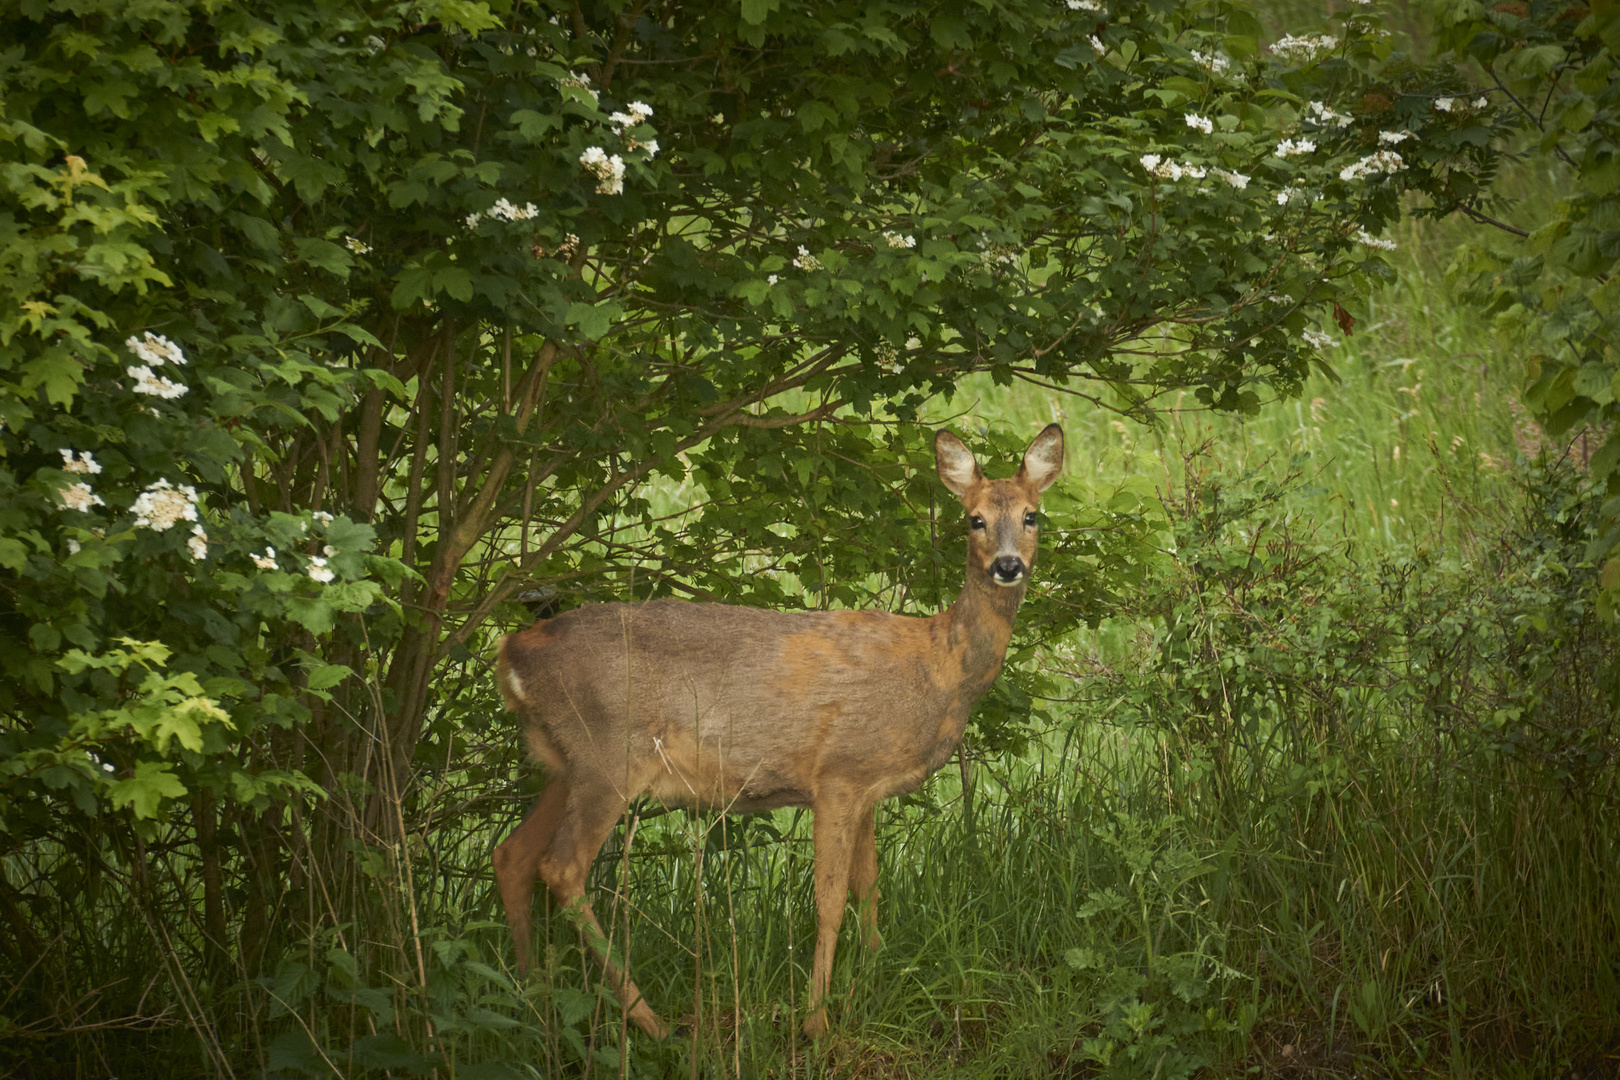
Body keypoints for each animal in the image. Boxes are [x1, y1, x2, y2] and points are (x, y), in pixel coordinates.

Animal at [492, 420, 1062, 1036]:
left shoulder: (869, 786)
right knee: (561, 866)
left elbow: (869, 885)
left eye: (1032, 515)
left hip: (564, 763)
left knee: (513, 855)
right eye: (973, 519)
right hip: (608, 752)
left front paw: (871, 978)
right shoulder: (838, 773)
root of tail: (512, 653)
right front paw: (816, 1021)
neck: (939, 668)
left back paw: (532, 995)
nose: (1008, 566)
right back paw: (651, 1021)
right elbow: (830, 899)